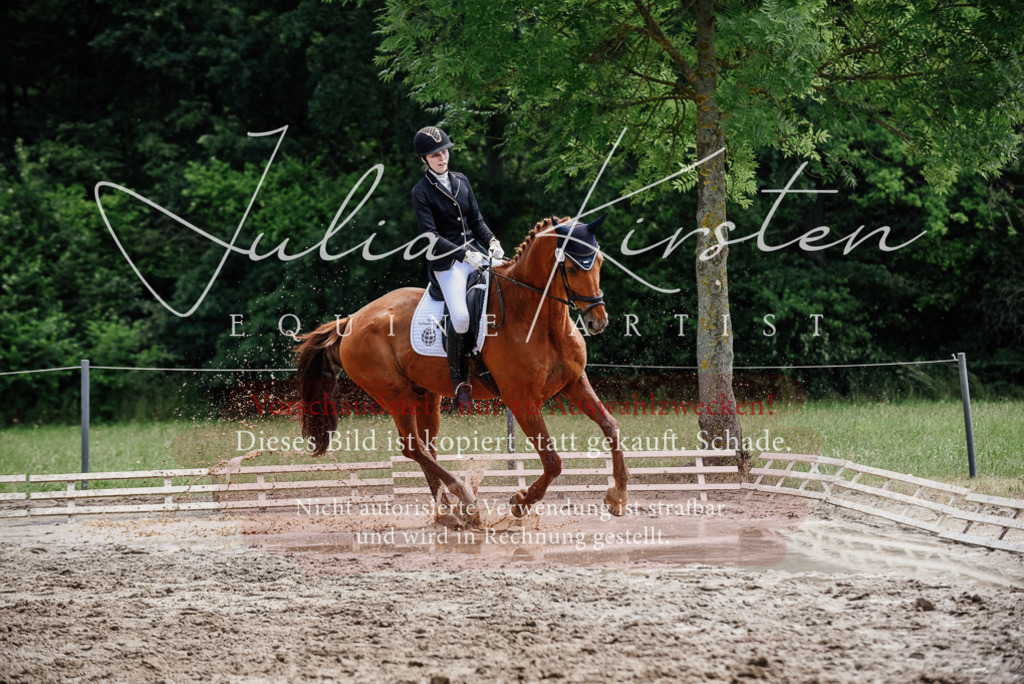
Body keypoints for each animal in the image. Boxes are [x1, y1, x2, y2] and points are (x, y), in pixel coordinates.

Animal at [295, 216, 628, 520]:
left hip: (426, 395)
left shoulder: (575, 382)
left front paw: (618, 496)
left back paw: (449, 511)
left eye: (599, 262)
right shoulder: (521, 400)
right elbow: (553, 461)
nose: (598, 321)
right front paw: (520, 502)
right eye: (571, 268)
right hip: (393, 393)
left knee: (426, 448)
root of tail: (351, 320)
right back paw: (465, 499)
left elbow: (611, 426)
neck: (537, 318)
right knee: (413, 447)